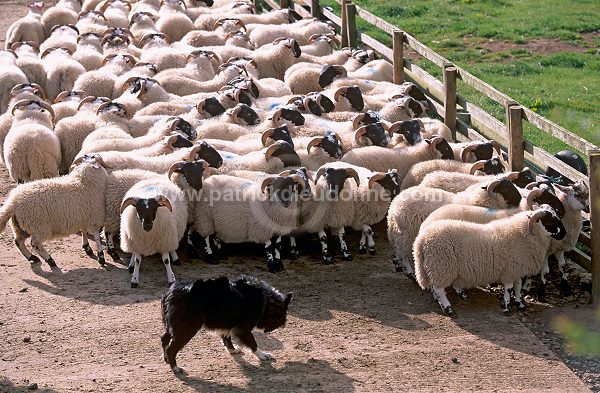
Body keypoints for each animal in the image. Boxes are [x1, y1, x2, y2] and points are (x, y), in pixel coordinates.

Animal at [159, 274, 290, 372]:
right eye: (282, 318)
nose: (283, 325)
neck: (267, 300)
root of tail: (170, 291)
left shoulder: (227, 324)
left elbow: (227, 337)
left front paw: (232, 350)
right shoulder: (243, 329)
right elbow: (253, 343)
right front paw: (262, 355)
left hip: (174, 325)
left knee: (164, 338)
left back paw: (167, 359)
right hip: (188, 327)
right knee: (171, 348)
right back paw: (175, 368)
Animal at [386, 178, 524, 278]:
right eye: (506, 188)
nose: (520, 199)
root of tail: (394, 206)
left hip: (399, 233)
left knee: (398, 251)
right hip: (407, 234)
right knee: (404, 253)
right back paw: (409, 271)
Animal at [414, 205, 564, 312]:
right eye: (550, 221)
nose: (564, 234)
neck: (524, 234)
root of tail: (421, 240)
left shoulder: (516, 268)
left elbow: (518, 287)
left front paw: (519, 303)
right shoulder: (509, 271)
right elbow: (509, 289)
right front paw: (507, 306)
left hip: (436, 267)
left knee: (436, 286)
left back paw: (458, 296)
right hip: (441, 266)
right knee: (438, 288)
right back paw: (447, 307)